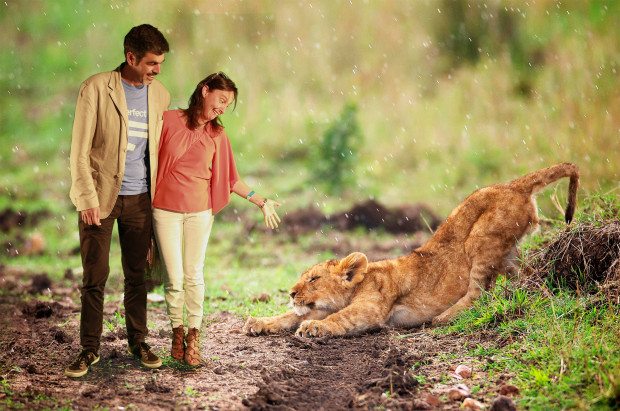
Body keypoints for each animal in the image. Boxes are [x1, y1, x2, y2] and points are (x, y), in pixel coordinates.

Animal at [242, 164, 576, 338]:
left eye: (313, 279)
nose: (290, 293)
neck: (360, 282)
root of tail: (514, 185)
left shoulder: (371, 308)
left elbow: (340, 318)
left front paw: (313, 326)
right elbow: (288, 317)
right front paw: (259, 322)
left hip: (481, 238)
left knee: (479, 291)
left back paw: (443, 318)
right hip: (509, 254)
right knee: (529, 277)